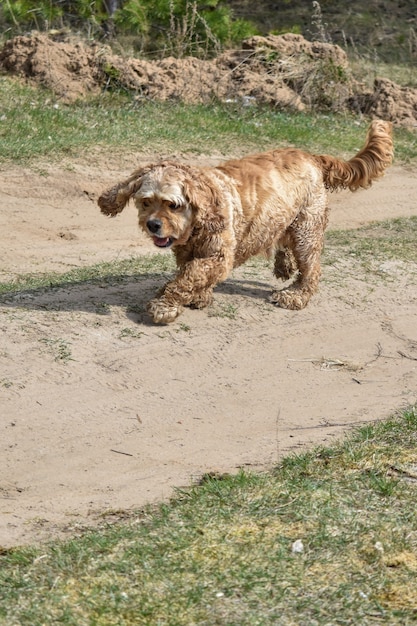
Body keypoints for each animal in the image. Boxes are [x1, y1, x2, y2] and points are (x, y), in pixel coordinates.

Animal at [99, 118, 392, 322]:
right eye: (145, 201)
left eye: (173, 205)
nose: (152, 225)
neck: (201, 216)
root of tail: (311, 156)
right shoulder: (189, 253)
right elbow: (192, 274)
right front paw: (200, 296)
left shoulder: (218, 256)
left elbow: (186, 278)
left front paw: (165, 306)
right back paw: (284, 265)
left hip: (307, 227)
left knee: (311, 268)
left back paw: (294, 295)